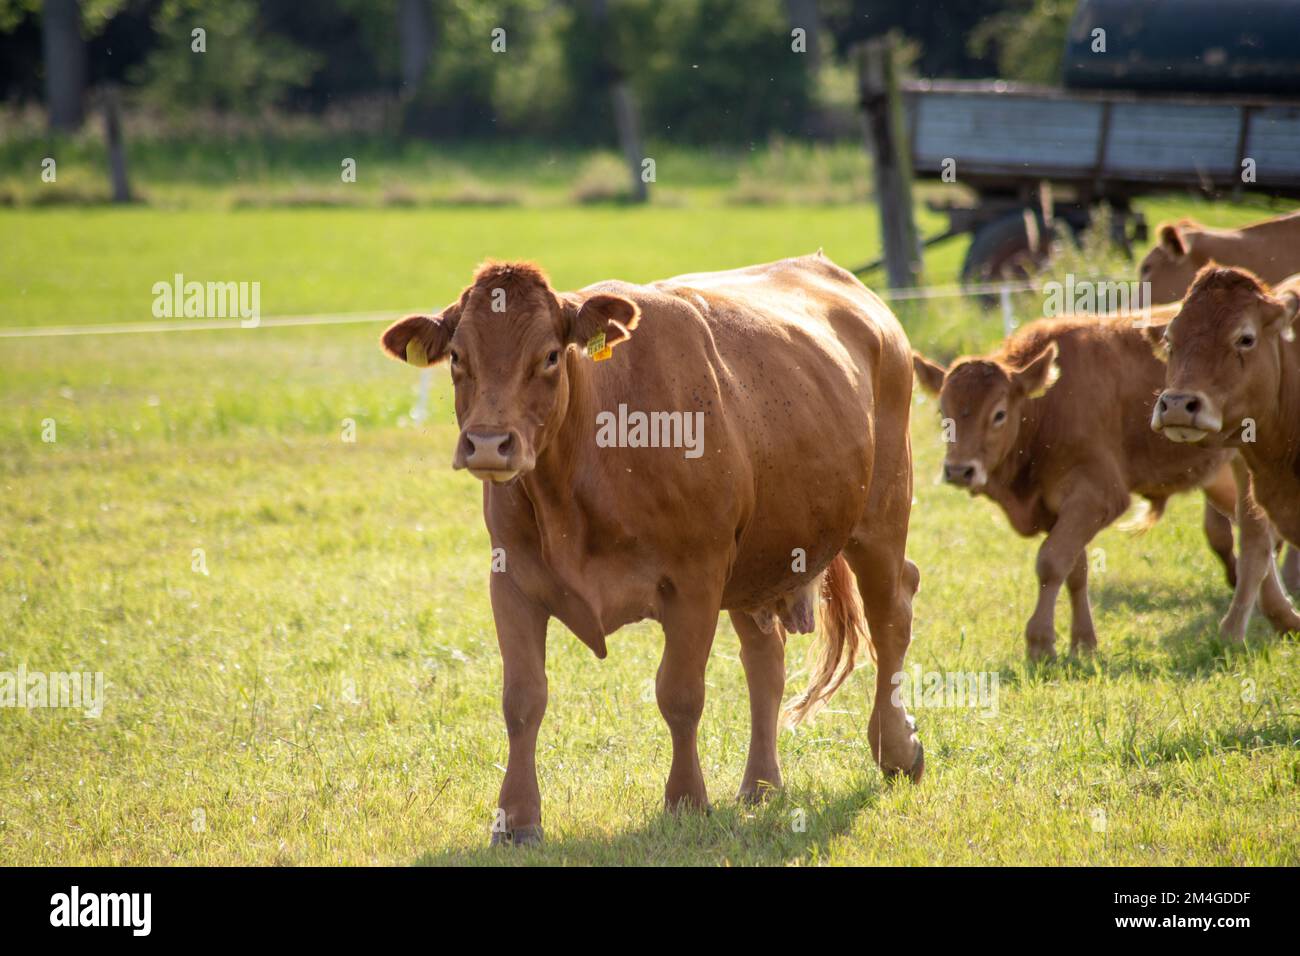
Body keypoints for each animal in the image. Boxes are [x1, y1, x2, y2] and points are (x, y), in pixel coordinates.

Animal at [380, 253, 924, 846]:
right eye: (458, 357)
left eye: (550, 355)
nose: (486, 444)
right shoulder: (511, 580)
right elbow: (522, 699)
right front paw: (517, 819)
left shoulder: (696, 578)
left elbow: (680, 694)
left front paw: (685, 800)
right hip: (758, 561)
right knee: (766, 662)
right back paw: (760, 787)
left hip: (882, 515)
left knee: (892, 616)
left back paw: (897, 751)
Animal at [912, 312, 1300, 660]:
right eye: (943, 413)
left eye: (998, 414)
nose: (959, 470)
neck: (1049, 405)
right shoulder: (1059, 508)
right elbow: (1076, 569)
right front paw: (1083, 643)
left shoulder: (1099, 496)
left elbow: (1051, 562)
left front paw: (1040, 643)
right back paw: (1285, 618)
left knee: (1255, 537)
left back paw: (1233, 632)